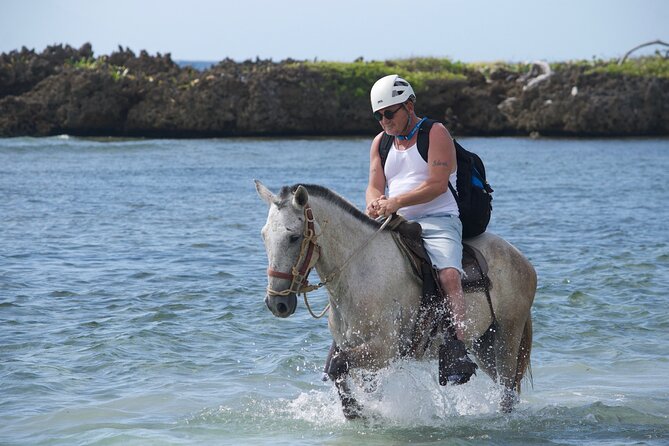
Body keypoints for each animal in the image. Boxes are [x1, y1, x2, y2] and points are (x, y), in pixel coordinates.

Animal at [256, 179, 536, 416]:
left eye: (294, 237)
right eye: (264, 235)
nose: (277, 303)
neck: (360, 271)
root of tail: (520, 258)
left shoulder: (384, 349)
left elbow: (337, 366)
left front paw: (356, 411)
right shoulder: (357, 350)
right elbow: (346, 375)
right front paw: (356, 410)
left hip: (507, 336)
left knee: (507, 391)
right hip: (484, 344)